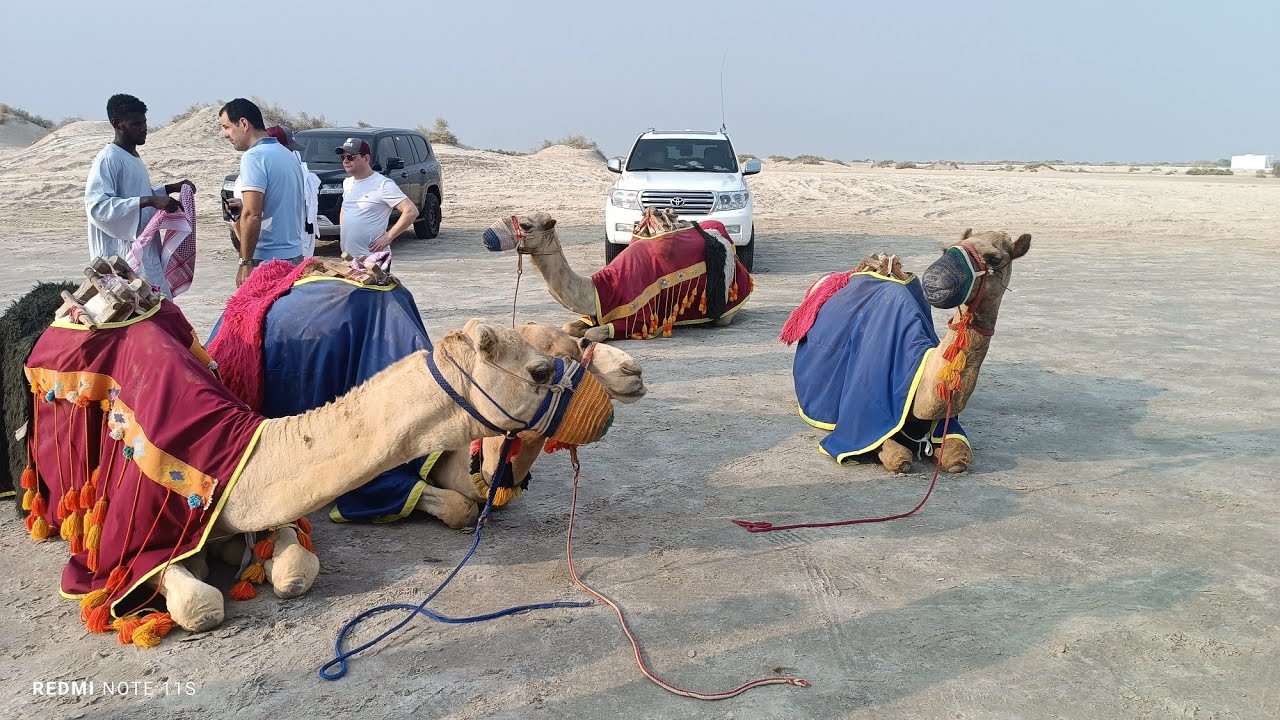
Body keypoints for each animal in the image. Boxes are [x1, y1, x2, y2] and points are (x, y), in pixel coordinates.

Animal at [483, 211, 752, 343]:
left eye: (526, 225)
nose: (487, 237)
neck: (601, 288)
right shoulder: (594, 313)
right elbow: (569, 326)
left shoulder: (638, 318)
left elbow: (592, 335)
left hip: (727, 307)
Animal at [784, 229, 1031, 474]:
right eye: (947, 248)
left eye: (994, 259)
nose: (934, 279)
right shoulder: (869, 419)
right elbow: (899, 459)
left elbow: (958, 461)